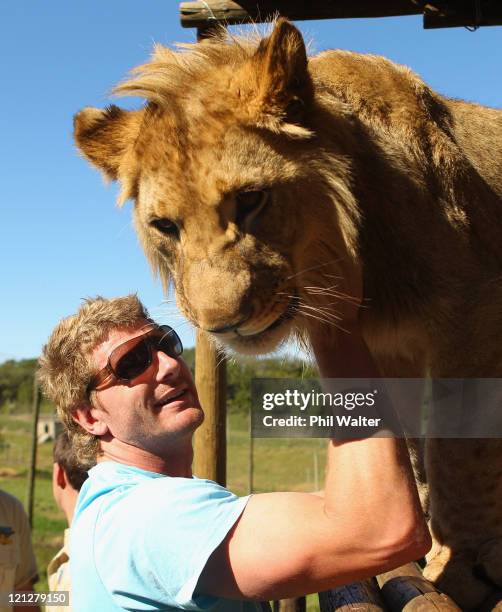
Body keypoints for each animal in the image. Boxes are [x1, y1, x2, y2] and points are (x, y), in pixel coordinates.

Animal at [72, 19, 502, 608]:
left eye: (251, 199)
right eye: (166, 226)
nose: (220, 323)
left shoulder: (471, 311)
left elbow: (461, 452)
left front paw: (458, 569)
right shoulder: (394, 350)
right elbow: (413, 445)